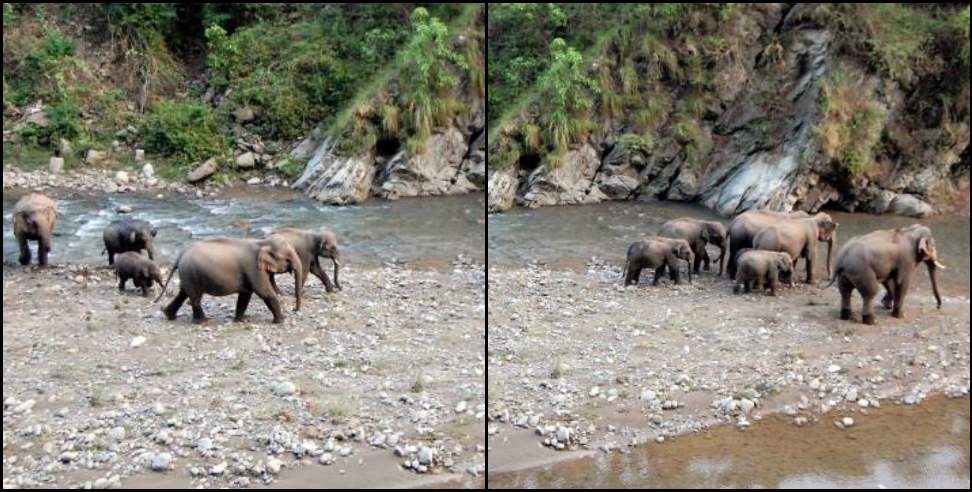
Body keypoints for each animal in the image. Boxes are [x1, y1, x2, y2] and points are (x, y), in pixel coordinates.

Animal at [156, 237, 302, 324]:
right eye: (288, 259)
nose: (294, 309)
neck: (262, 242)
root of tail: (181, 254)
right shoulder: (254, 268)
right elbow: (265, 292)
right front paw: (281, 321)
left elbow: (245, 295)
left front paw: (242, 320)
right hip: (191, 274)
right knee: (195, 297)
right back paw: (203, 321)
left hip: (187, 274)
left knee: (183, 293)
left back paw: (168, 314)